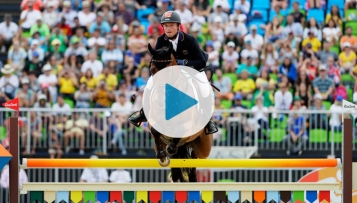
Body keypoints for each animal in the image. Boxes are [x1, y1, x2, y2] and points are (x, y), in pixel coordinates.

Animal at [134, 44, 213, 182]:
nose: (160, 101)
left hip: (203, 148)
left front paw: (170, 148)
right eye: (152, 70)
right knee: (177, 169)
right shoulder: (152, 122)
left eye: (169, 71)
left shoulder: (188, 124)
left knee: (194, 159)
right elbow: (155, 130)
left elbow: (179, 130)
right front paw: (162, 156)